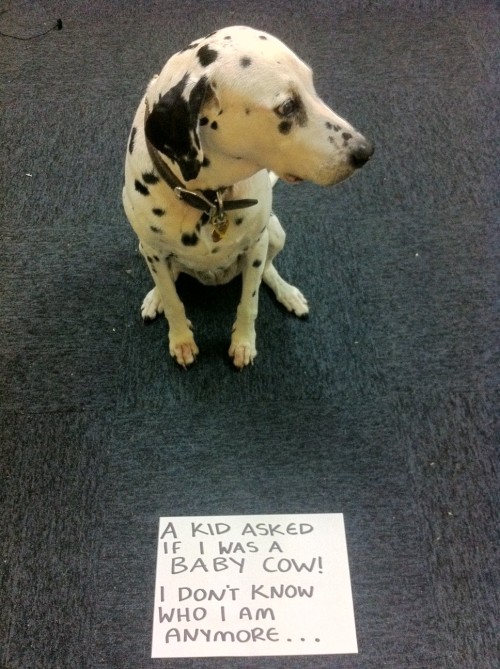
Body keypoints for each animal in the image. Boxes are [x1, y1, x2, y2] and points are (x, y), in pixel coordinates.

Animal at [122, 26, 372, 368]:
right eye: (287, 107)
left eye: (312, 85)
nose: (365, 151)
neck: (210, 198)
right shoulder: (154, 251)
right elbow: (174, 302)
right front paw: (181, 338)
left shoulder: (256, 245)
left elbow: (249, 303)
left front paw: (243, 342)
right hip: (145, 249)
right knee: (168, 279)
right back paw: (155, 297)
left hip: (275, 233)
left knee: (268, 269)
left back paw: (287, 293)